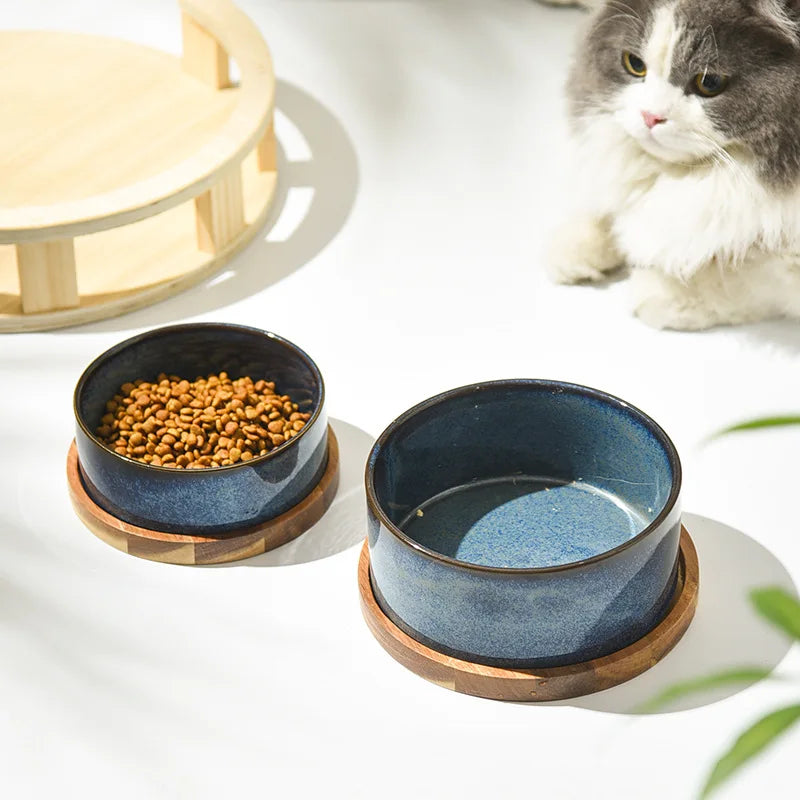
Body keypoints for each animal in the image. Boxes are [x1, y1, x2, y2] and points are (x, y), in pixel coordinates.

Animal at [552, 0, 800, 330]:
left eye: (709, 82)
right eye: (635, 64)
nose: (650, 116)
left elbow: (747, 276)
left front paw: (662, 291)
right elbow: (613, 208)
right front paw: (572, 247)